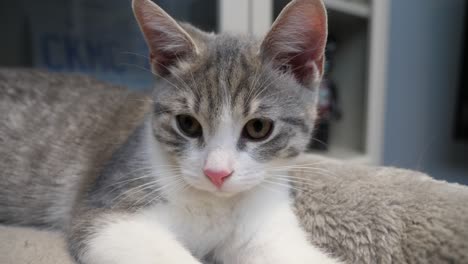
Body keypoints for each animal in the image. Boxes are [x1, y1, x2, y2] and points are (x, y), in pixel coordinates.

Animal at [0, 0, 338, 262]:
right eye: (187, 124)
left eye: (258, 127)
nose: (217, 173)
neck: (217, 204)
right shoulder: (107, 212)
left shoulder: (266, 222)